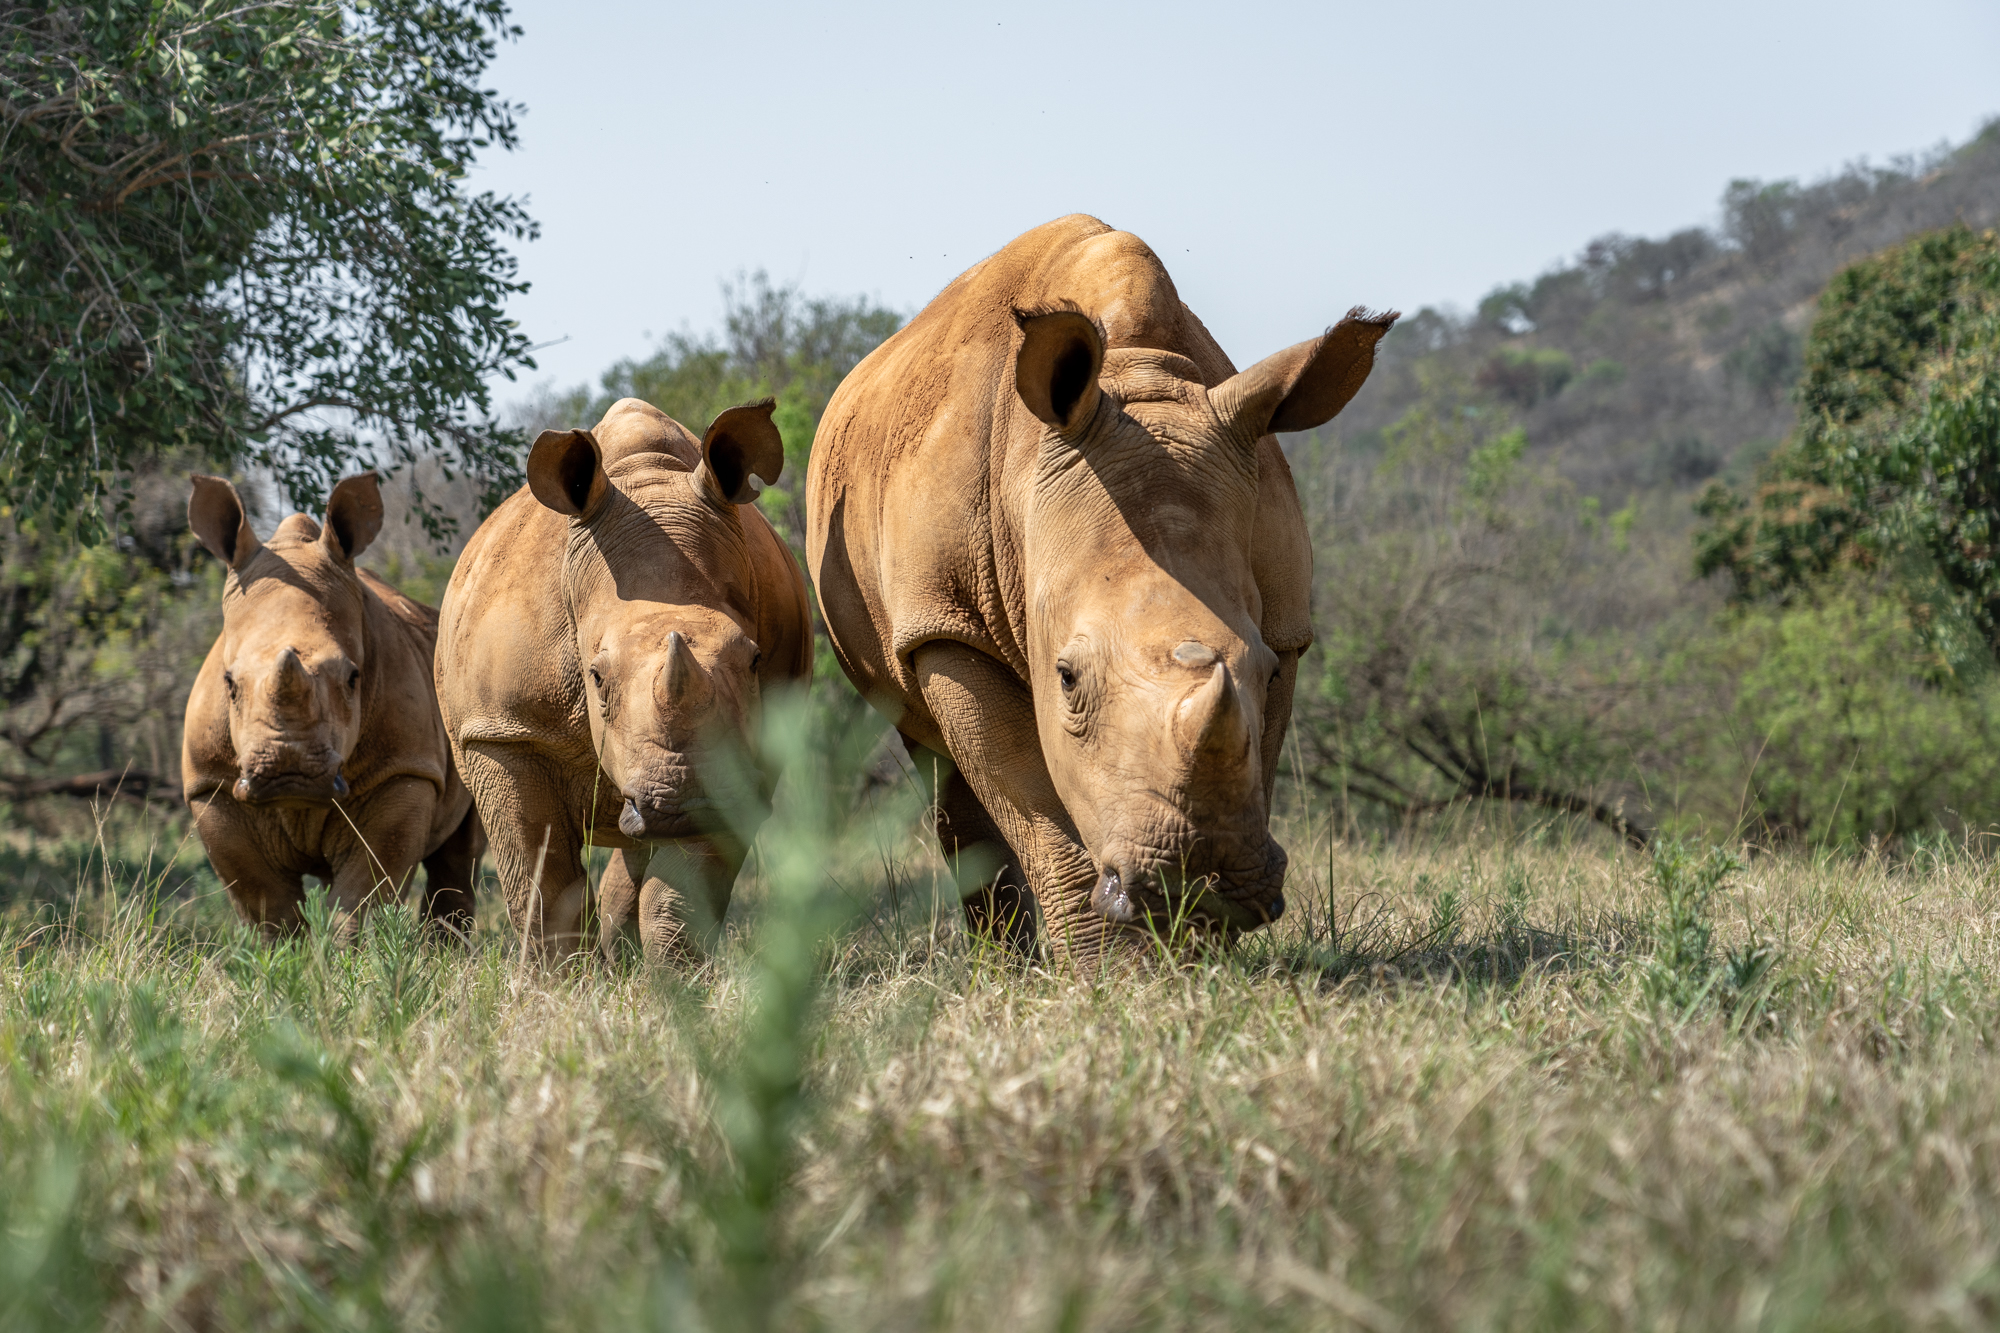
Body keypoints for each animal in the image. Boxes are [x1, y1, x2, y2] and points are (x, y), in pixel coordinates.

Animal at [184, 472, 488, 928]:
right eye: (229, 684)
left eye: (352, 678)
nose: (288, 771)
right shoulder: (212, 786)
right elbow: (267, 905)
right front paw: (286, 946)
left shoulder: (403, 770)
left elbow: (362, 897)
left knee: (460, 856)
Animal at [438, 394, 812, 956]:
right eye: (595, 676)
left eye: (754, 660)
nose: (680, 802)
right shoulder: (504, 731)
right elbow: (542, 885)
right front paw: (557, 978)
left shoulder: (738, 752)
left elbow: (678, 897)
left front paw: (677, 976)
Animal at [796, 215, 1392, 956]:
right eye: (1067, 678)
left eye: (1267, 669)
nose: (1199, 882)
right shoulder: (946, 621)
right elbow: (1033, 805)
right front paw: (1116, 967)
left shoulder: (1286, 627)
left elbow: (1258, 756)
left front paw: (1198, 956)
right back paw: (1004, 965)